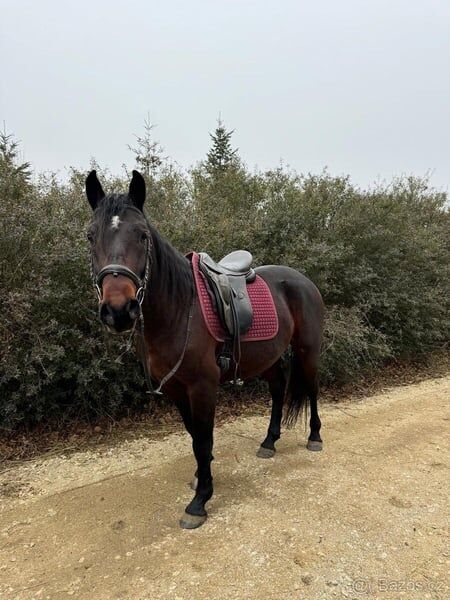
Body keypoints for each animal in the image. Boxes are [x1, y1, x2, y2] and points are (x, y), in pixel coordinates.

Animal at [85, 169, 324, 529]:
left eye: (142, 235)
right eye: (90, 236)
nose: (118, 310)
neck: (179, 308)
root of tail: (304, 280)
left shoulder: (203, 385)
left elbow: (203, 438)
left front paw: (200, 501)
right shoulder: (175, 388)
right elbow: (193, 434)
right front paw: (202, 477)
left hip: (308, 352)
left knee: (310, 389)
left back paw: (314, 437)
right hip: (268, 358)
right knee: (278, 391)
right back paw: (269, 441)